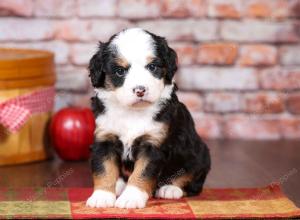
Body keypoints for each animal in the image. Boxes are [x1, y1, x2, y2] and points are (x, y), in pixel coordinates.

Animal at [85, 28, 210, 209]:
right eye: (120, 71)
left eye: (152, 67)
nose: (140, 90)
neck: (132, 112)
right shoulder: (104, 139)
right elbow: (104, 169)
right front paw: (101, 197)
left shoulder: (153, 145)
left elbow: (141, 173)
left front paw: (131, 198)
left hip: (199, 153)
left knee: (192, 179)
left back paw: (170, 189)